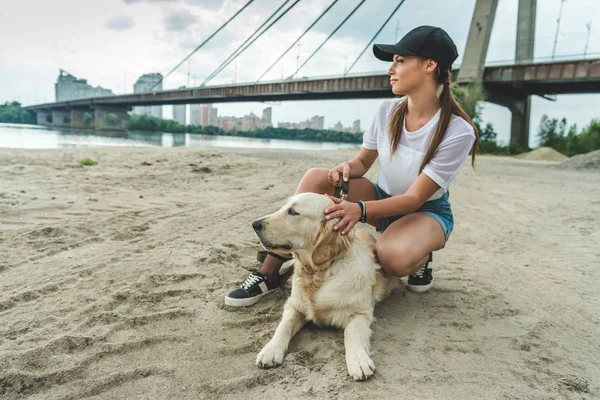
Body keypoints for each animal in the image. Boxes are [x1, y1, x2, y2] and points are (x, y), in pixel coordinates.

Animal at [253, 192, 398, 380]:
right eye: (285, 207)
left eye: (293, 212)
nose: (254, 224)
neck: (319, 273)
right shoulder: (294, 305)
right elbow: (284, 325)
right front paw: (270, 350)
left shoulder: (362, 313)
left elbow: (350, 332)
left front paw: (358, 361)